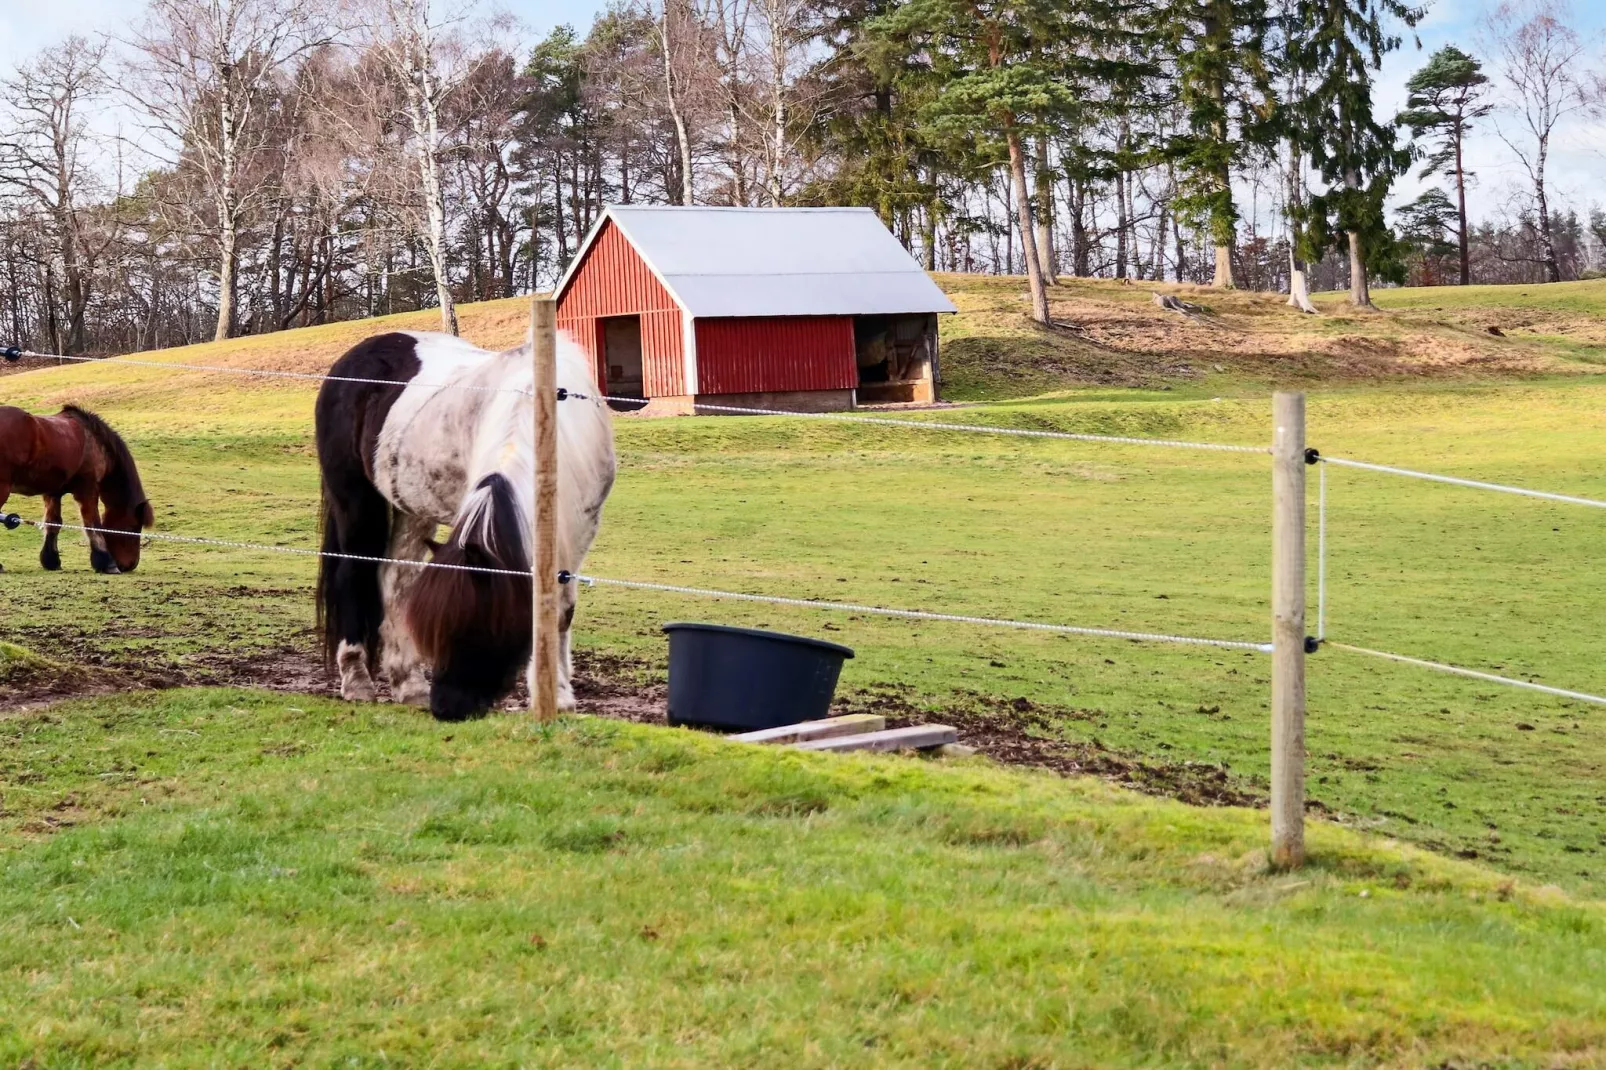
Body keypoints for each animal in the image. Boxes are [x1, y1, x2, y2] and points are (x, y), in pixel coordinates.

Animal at [0, 401, 153, 571]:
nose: (130, 565)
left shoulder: (53, 492)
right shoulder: (87, 490)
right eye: (134, 527)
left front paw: (51, 560)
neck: (95, 440)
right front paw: (106, 562)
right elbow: (92, 523)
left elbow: (53, 523)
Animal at [316, 329, 616, 719]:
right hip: (356, 502)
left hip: (413, 510)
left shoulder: (578, 531)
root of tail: (349, 361)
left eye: (481, 626)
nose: (446, 708)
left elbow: (560, 610)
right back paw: (356, 680)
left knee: (395, 581)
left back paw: (408, 684)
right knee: (353, 575)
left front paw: (559, 697)